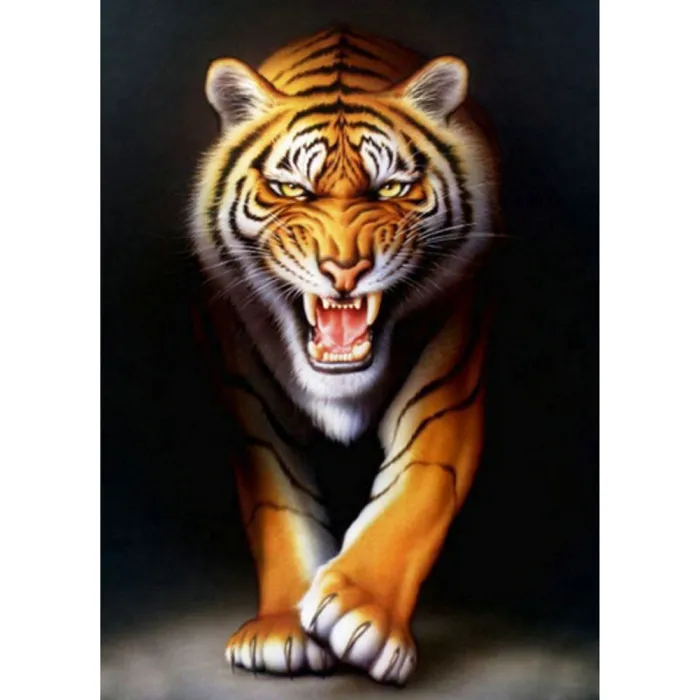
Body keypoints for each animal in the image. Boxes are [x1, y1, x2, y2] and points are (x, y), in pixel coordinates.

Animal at [190, 25, 500, 685]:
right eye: (290, 189)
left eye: (391, 188)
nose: (343, 269)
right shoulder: (251, 406)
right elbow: (280, 508)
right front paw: (280, 631)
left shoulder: (449, 385)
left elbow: (416, 493)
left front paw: (362, 614)